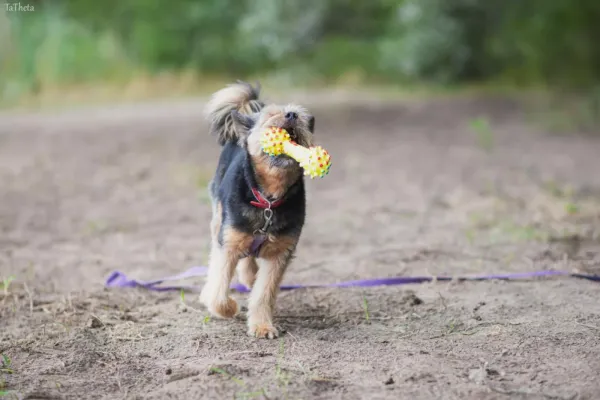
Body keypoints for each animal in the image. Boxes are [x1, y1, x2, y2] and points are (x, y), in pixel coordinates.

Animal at [199, 81, 316, 338]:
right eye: (270, 116)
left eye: (300, 115)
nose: (291, 115)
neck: (269, 200)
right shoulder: (228, 243)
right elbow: (220, 288)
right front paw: (228, 307)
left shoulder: (280, 254)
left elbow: (264, 292)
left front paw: (262, 325)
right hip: (218, 219)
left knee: (249, 265)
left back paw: (250, 276)